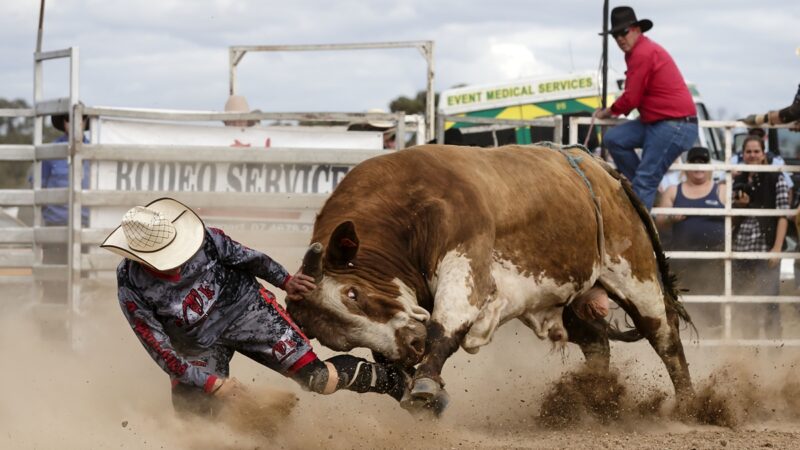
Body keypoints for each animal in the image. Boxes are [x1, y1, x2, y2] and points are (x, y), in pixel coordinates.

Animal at [288, 144, 692, 414]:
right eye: (339, 340)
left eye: (352, 293)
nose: (411, 345)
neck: (402, 210)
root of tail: (598, 167)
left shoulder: (465, 261)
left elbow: (446, 325)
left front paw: (425, 382)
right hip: (566, 299)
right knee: (596, 343)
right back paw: (590, 399)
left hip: (633, 271)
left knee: (664, 335)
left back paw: (690, 405)